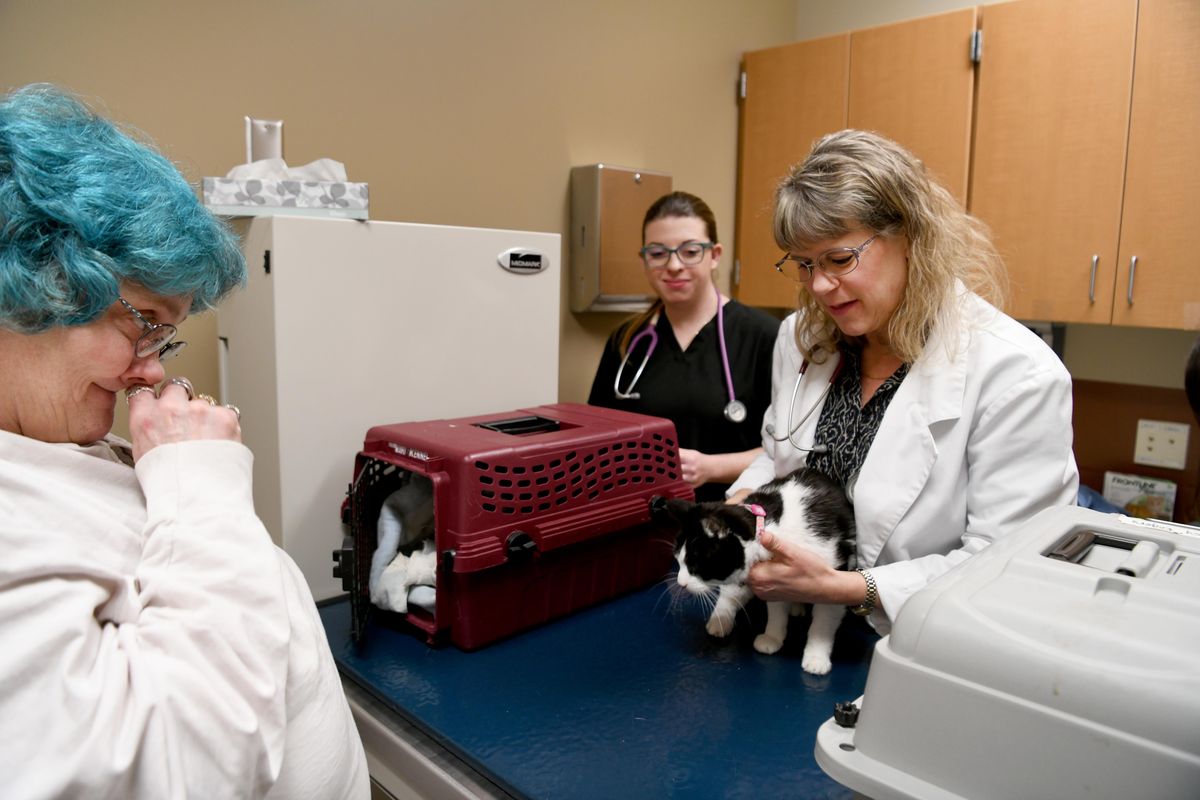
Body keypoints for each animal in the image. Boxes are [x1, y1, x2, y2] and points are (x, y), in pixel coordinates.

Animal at [662, 470, 859, 676]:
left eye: (695, 565)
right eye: (678, 560)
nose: (681, 583)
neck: (767, 527)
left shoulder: (832, 569)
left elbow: (824, 620)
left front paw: (816, 657)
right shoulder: (773, 579)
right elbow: (776, 610)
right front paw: (773, 637)